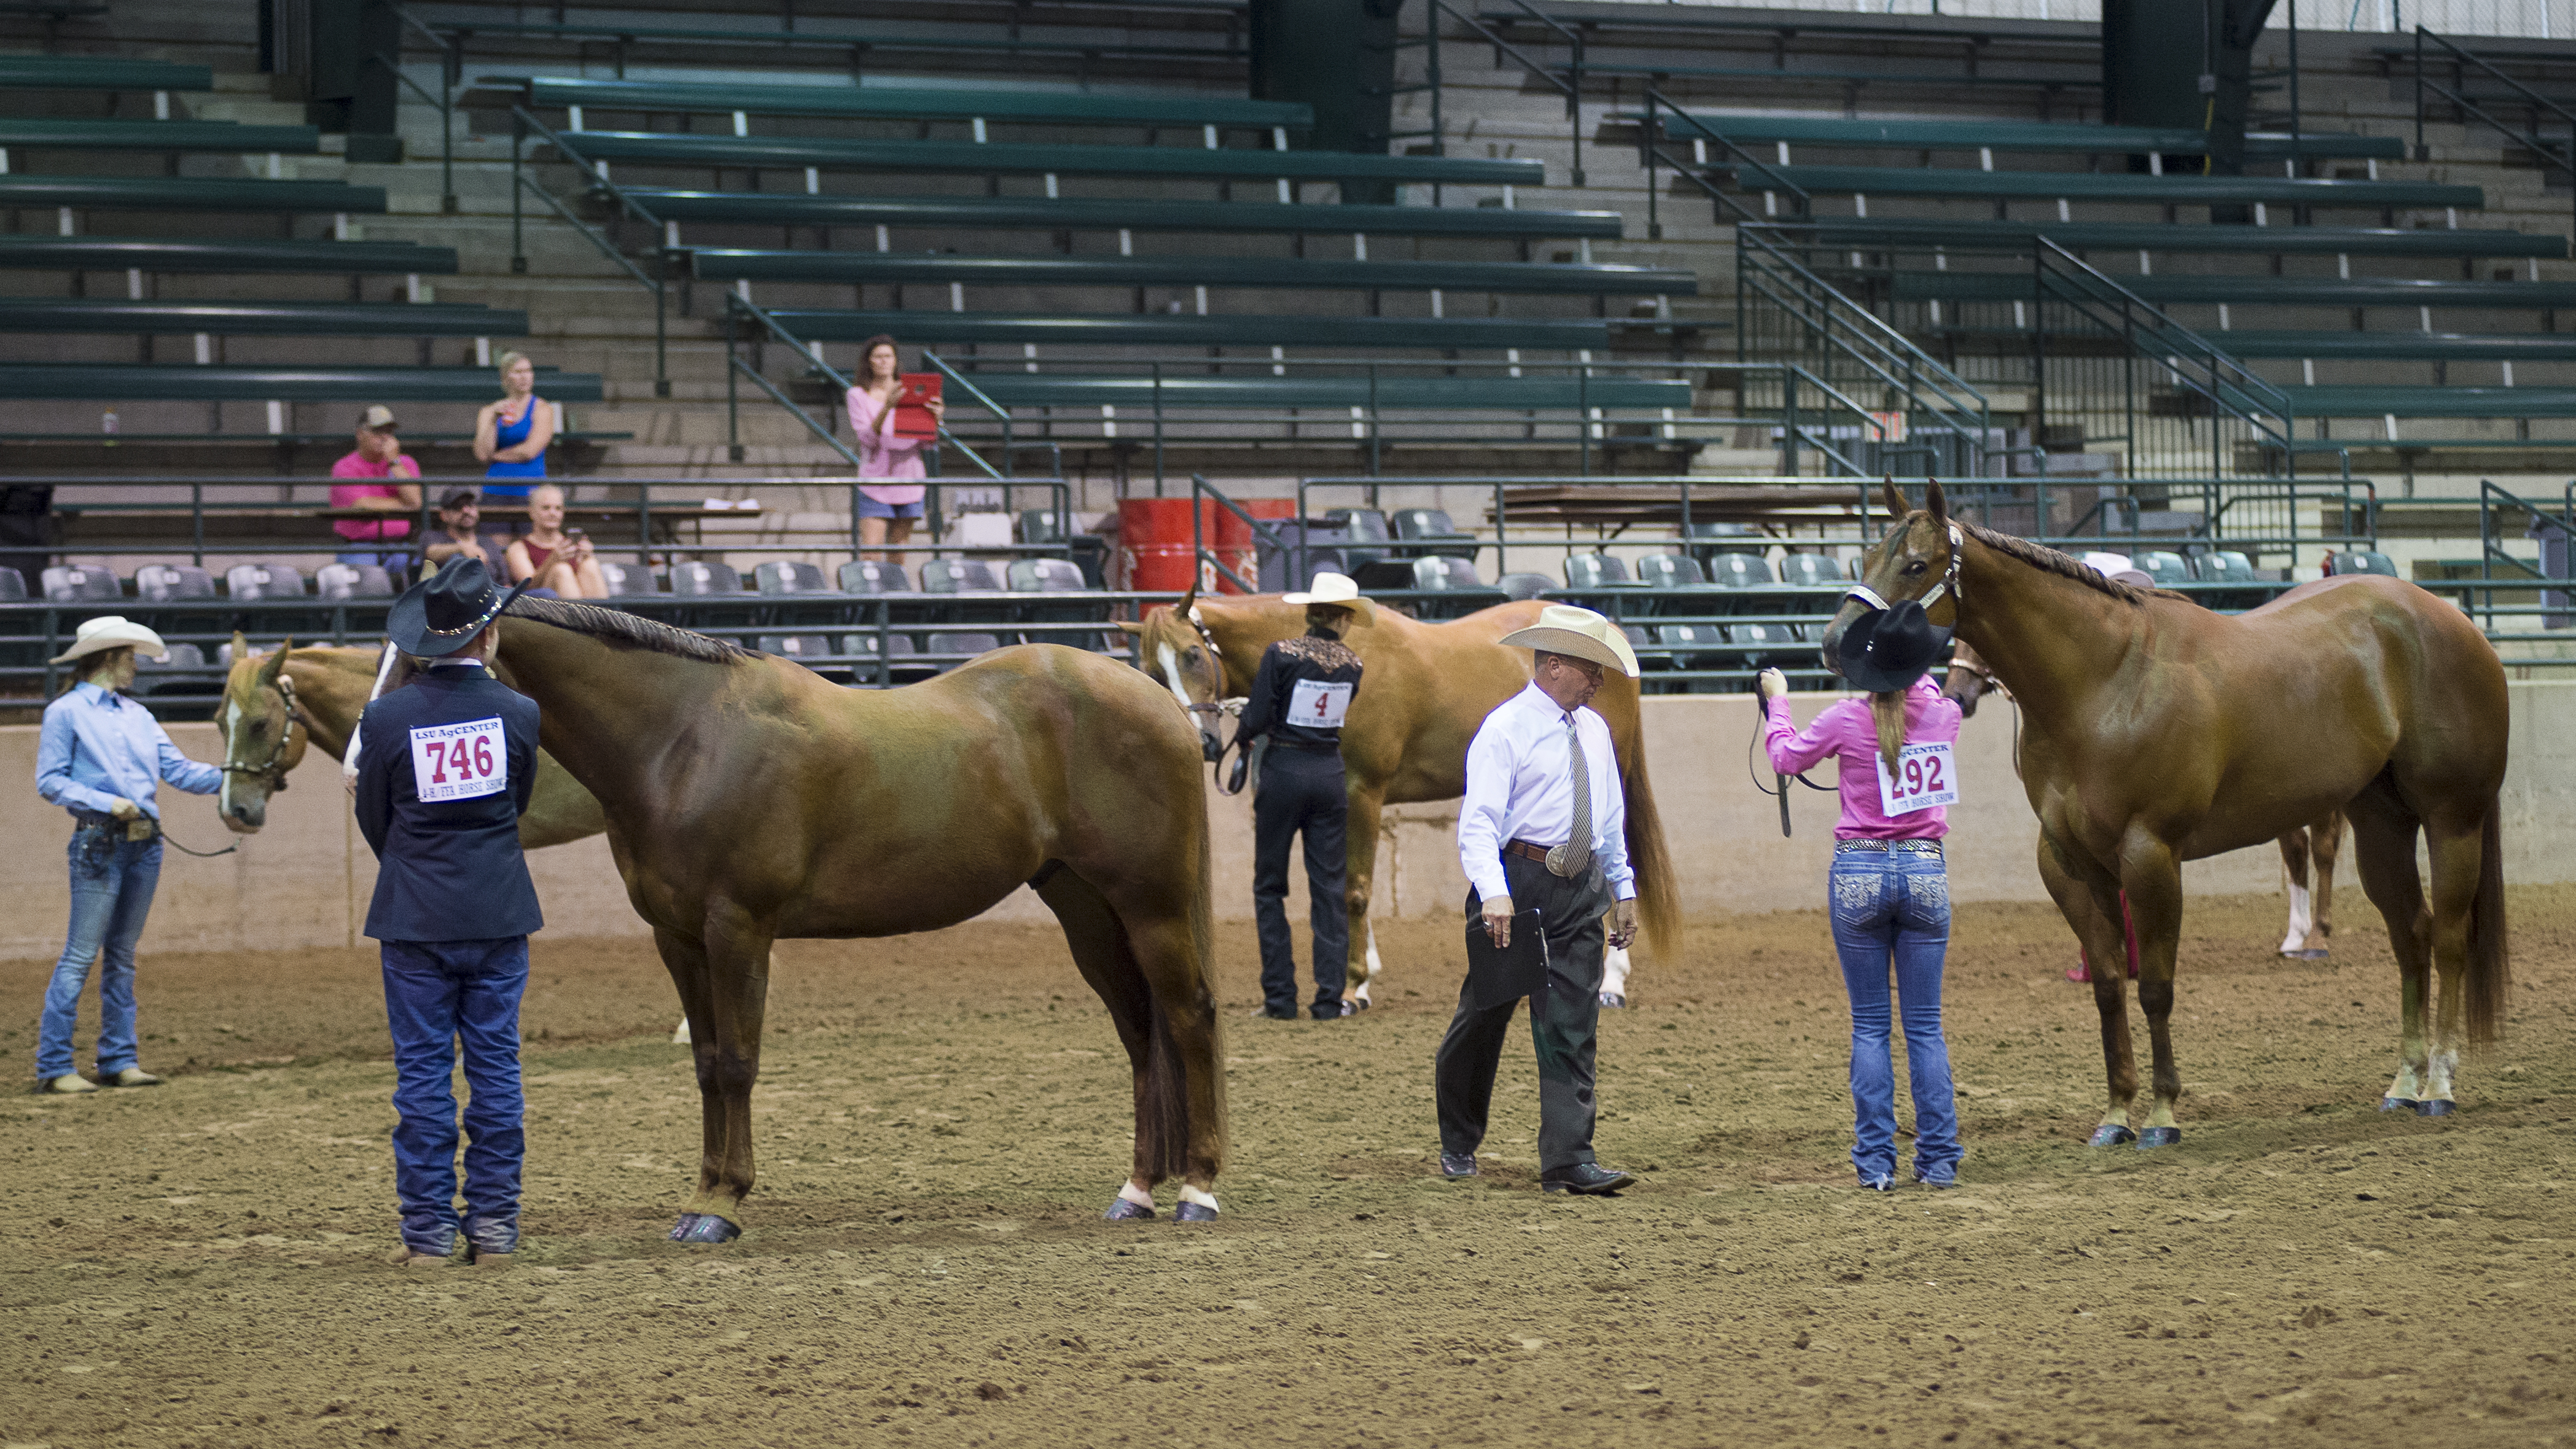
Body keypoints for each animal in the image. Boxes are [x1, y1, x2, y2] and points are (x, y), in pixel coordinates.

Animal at [477, 595, 1224, 1239]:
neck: (687, 738)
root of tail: (1156, 699)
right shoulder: (679, 938)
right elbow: (708, 1063)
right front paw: (700, 1198)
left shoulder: (739, 928)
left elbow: (738, 1063)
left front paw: (723, 1205)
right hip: (1086, 908)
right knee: (1140, 1032)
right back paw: (1135, 1192)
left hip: (1151, 905)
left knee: (1189, 1017)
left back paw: (1197, 1189)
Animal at [1121, 586, 1680, 1006]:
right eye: (1149, 669)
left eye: (1193, 654)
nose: (1201, 741)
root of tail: (1613, 639)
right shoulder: (1342, 802)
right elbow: (1341, 883)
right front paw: (1364, 969)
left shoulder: (1362, 791)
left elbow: (1355, 888)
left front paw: (1352, 987)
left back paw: (1612, 981)